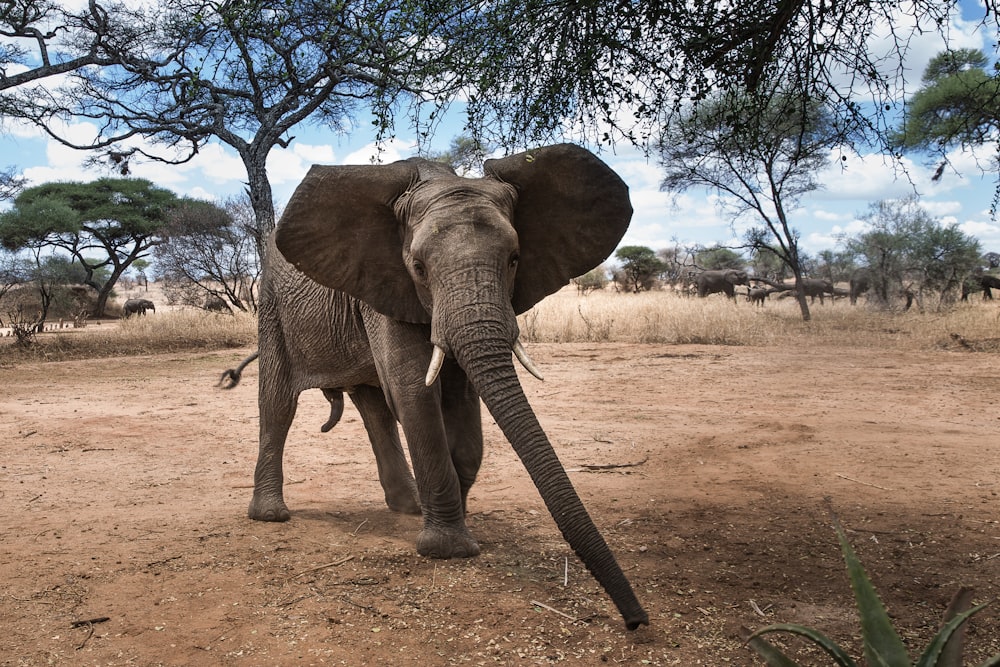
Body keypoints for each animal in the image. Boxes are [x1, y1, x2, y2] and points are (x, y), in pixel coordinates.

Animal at [240, 144, 648, 628]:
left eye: (514, 259)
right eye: (418, 266)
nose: (637, 620)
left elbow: (461, 401)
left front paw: (456, 515)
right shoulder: (388, 282)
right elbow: (415, 390)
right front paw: (449, 549)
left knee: (373, 406)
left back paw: (408, 507)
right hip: (272, 308)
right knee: (278, 403)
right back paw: (271, 516)